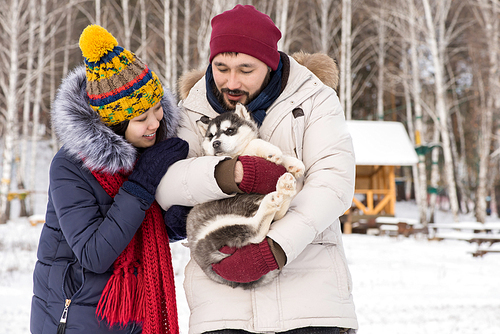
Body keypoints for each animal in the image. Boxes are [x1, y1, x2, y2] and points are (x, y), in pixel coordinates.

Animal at [187, 105, 304, 290]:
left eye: (229, 130)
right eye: (211, 136)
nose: (215, 143)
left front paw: (292, 163)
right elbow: (253, 144)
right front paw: (272, 152)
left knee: (275, 215)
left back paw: (285, 188)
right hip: (211, 228)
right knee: (255, 230)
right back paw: (272, 201)